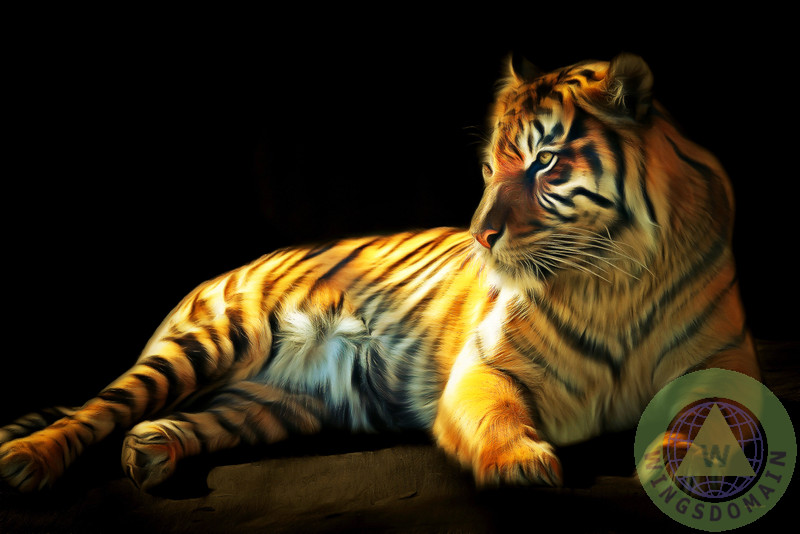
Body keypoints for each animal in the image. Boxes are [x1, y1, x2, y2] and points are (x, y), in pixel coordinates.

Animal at [0, 53, 759, 493]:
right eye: (492, 166)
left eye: (544, 162)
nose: (480, 235)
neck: (610, 281)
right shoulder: (484, 370)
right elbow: (497, 415)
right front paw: (520, 467)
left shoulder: (720, 362)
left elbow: (711, 413)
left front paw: (681, 458)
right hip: (204, 343)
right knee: (99, 407)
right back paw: (28, 458)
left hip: (274, 406)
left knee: (195, 418)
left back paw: (151, 450)